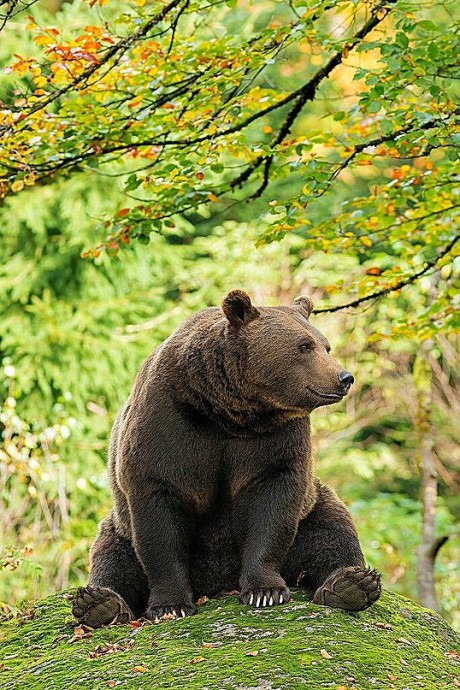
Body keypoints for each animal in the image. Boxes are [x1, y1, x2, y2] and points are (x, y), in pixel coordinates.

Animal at [73, 290, 380, 624]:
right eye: (304, 346)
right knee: (112, 556)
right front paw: (170, 605)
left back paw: (351, 584)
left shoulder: (274, 440)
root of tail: (218, 585)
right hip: (119, 525)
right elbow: (158, 518)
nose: (344, 377)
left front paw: (265, 591)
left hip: (311, 510)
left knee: (333, 528)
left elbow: (273, 501)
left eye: (325, 345)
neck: (230, 410)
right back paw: (99, 602)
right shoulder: (167, 425)